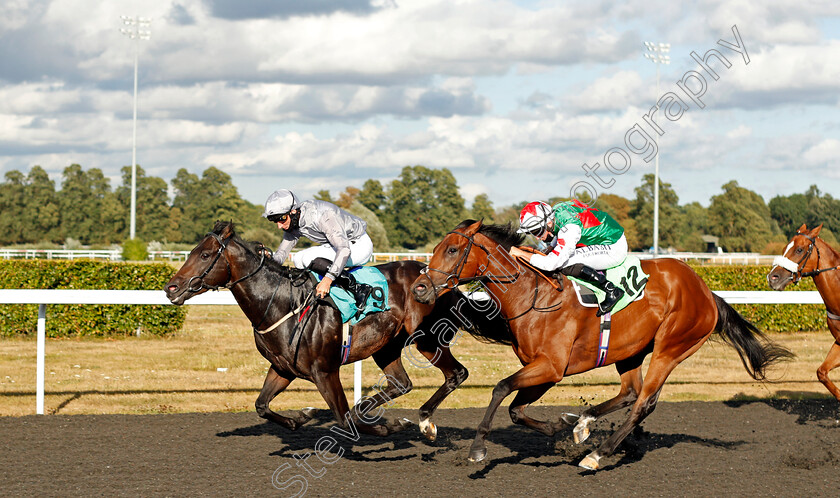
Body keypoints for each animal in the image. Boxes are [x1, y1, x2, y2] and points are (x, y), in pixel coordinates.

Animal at [167, 222, 502, 440]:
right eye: (192, 251)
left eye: (205, 255)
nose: (172, 287)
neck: (282, 303)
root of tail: (441, 278)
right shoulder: (282, 368)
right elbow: (261, 405)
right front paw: (302, 416)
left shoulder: (325, 371)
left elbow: (342, 418)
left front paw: (385, 426)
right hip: (387, 346)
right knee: (401, 383)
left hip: (428, 339)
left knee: (456, 374)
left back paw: (422, 423)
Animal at [414, 221, 796, 470]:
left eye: (452, 249)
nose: (420, 288)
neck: (533, 296)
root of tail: (705, 290)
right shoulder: (545, 370)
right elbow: (516, 409)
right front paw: (560, 428)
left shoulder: (550, 366)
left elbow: (500, 389)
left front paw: (478, 449)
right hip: (631, 351)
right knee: (630, 392)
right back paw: (582, 423)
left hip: (671, 347)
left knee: (644, 402)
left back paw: (598, 455)